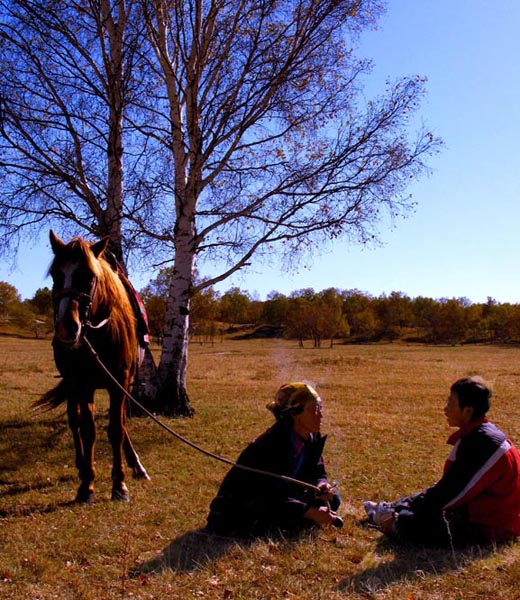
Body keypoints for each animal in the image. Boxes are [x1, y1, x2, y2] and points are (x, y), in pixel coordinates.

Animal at [35, 230, 149, 502]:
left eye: (89, 276)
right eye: (56, 275)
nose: (67, 326)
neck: (99, 333)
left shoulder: (120, 383)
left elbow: (117, 429)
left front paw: (120, 484)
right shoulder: (82, 384)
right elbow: (88, 430)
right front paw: (87, 483)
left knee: (119, 423)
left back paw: (135, 464)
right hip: (71, 384)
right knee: (74, 420)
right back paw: (81, 464)